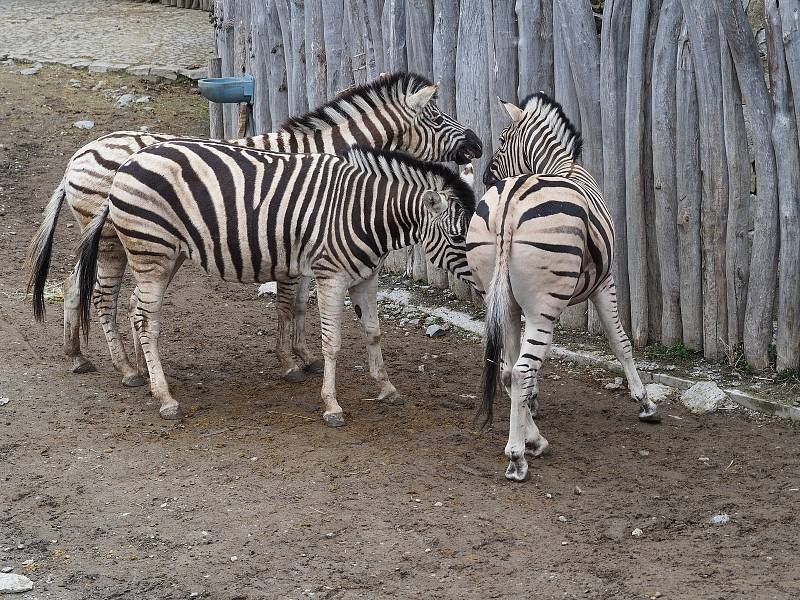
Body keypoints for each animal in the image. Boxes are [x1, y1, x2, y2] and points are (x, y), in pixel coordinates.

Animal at [28, 72, 482, 386]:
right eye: (437, 116)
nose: (477, 145)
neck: (328, 157)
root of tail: (80, 153)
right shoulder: (295, 243)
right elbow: (287, 304)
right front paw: (291, 361)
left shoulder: (304, 248)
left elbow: (298, 306)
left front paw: (305, 356)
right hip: (111, 241)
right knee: (102, 295)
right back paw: (126, 369)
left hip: (117, 240)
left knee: (74, 284)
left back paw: (78, 355)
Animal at [73, 141, 476, 424]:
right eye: (459, 237)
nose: (485, 286)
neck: (362, 212)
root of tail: (126, 164)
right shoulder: (331, 275)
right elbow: (332, 343)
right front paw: (331, 405)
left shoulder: (367, 277)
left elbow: (374, 332)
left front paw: (387, 387)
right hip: (151, 252)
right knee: (144, 319)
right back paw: (164, 397)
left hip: (167, 255)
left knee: (134, 307)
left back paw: (143, 373)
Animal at [466, 91, 660, 480]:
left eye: (502, 140)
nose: (486, 176)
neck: (559, 166)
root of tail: (510, 202)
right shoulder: (605, 282)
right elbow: (621, 343)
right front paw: (644, 401)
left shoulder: (518, 304)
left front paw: (531, 406)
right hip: (546, 305)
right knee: (521, 369)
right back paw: (518, 456)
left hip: (499, 299)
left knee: (508, 370)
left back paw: (532, 439)